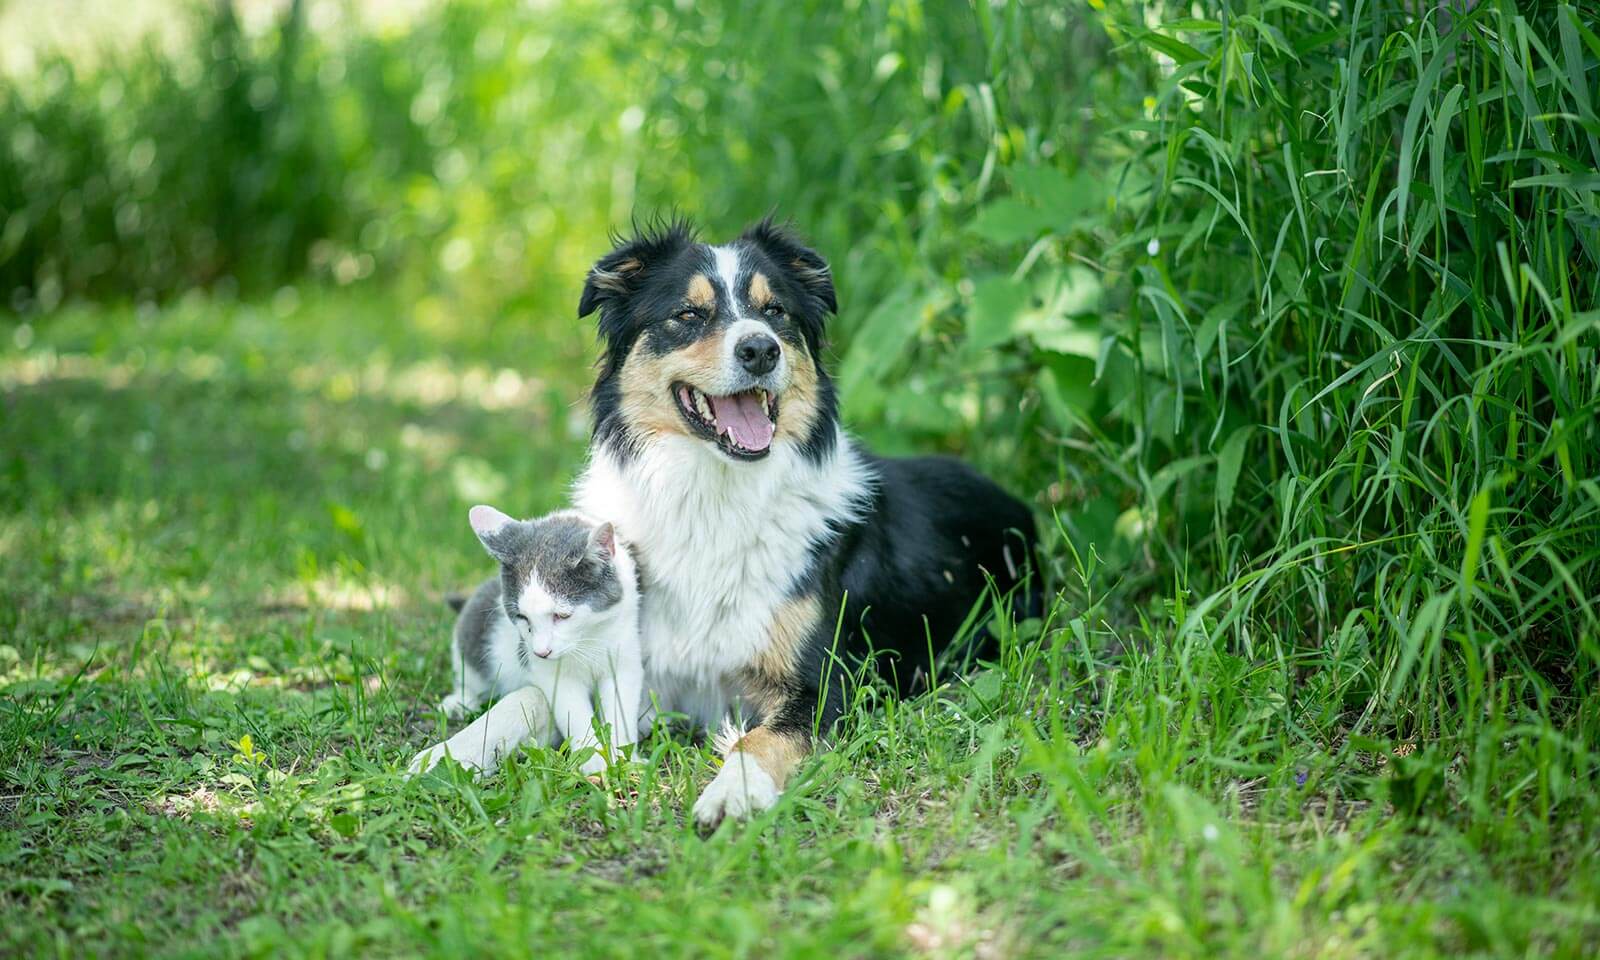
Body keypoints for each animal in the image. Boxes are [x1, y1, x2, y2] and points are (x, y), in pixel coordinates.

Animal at [406, 505, 643, 777]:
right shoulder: (552, 675)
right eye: (521, 616)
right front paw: (594, 761)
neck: (587, 640)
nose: (542, 651)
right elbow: (573, 710)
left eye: (562, 615)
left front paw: (624, 758)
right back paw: (460, 701)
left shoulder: (625, 656)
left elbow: (620, 709)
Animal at [576, 217, 1036, 825]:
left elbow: (758, 739)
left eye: (776, 312)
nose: (759, 350)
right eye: (688, 314)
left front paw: (732, 791)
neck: (715, 498)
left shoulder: (831, 683)